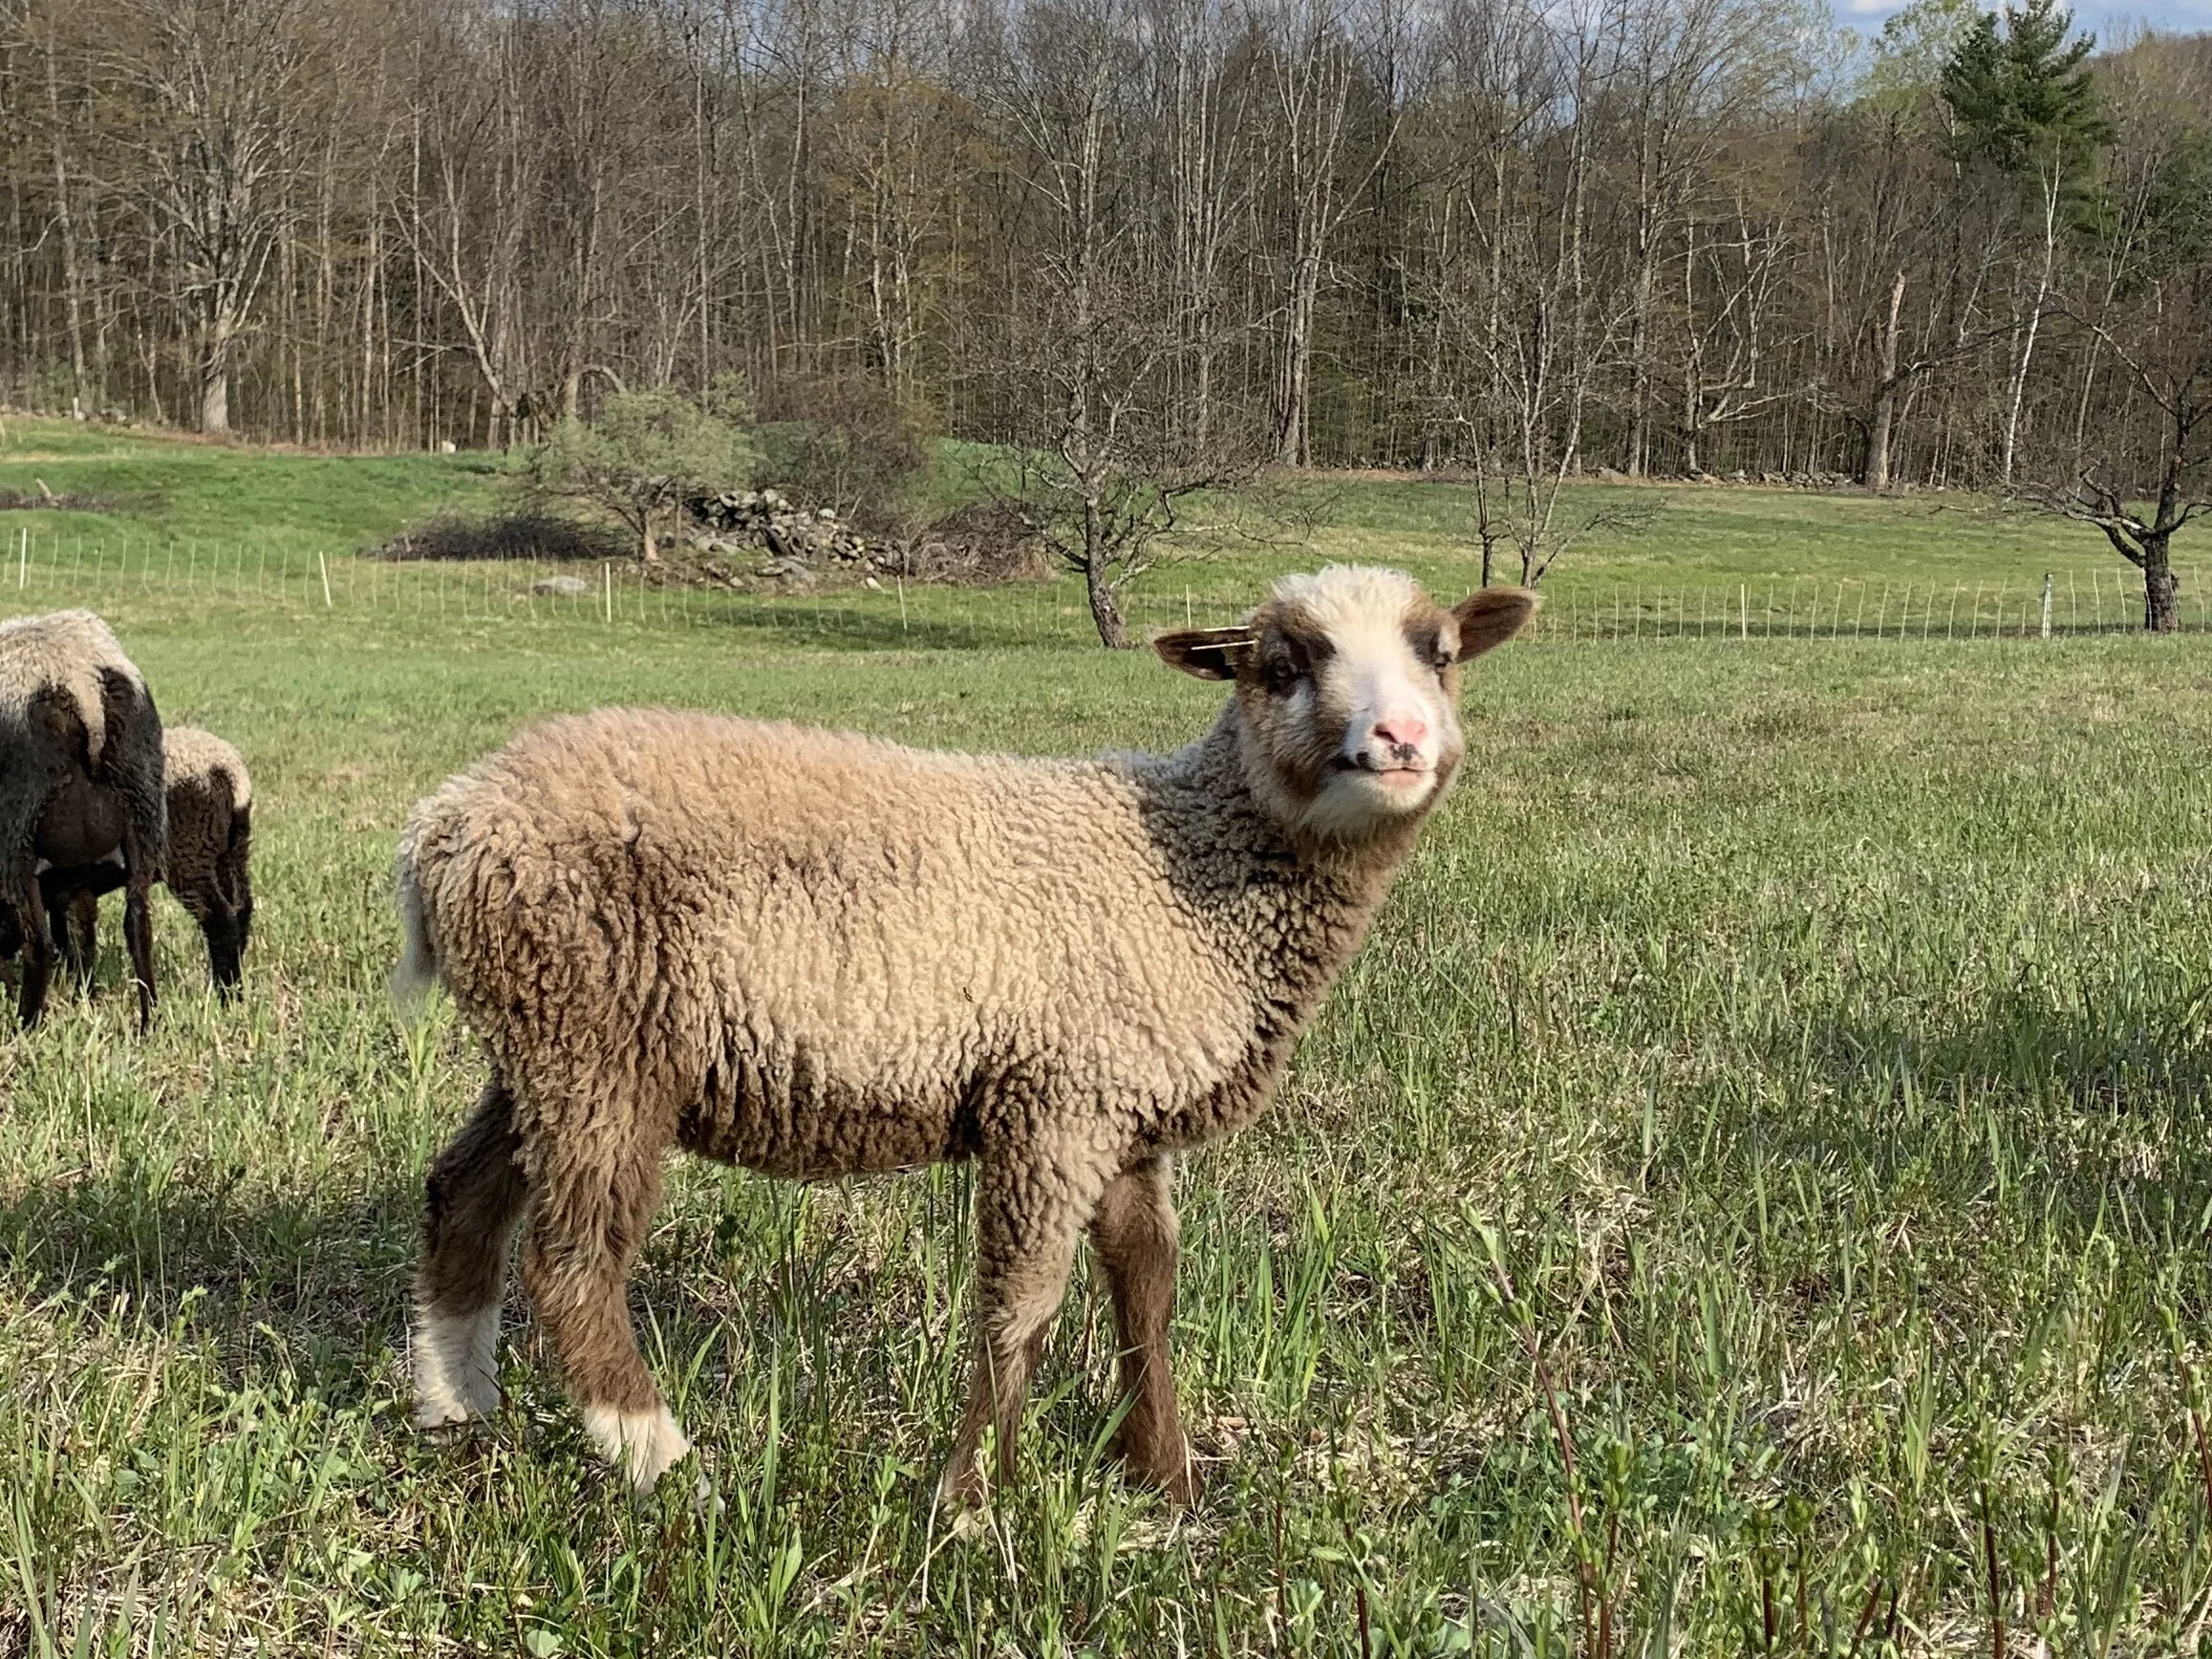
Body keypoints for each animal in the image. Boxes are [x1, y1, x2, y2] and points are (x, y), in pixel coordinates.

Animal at [0, 609, 164, 1028]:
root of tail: (79, 680)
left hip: (17, 834)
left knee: (38, 943)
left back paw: (25, 1024)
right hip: (142, 811)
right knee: (138, 924)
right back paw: (147, 1021)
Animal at [25, 727, 255, 995]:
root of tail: (229, 770)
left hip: (188, 853)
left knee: (221, 919)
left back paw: (224, 994)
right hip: (231, 850)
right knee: (242, 909)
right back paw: (235, 985)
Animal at [396, 564, 1537, 1501]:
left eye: (1438, 653)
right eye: (1282, 665)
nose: (1399, 739)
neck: (1186, 855)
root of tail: (443, 826)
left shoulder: (1123, 1102)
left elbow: (1145, 1292)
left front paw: (1163, 1481)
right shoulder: (1054, 1102)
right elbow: (1019, 1308)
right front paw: (970, 1504)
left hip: (545, 1041)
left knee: (460, 1192)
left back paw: (456, 1408)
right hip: (595, 1043)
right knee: (570, 1263)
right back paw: (662, 1464)